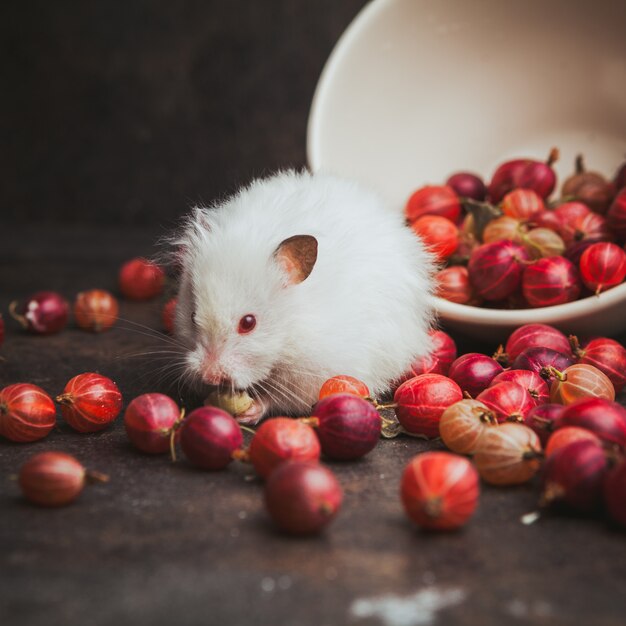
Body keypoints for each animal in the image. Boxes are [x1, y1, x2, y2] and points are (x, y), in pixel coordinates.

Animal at [171, 169, 434, 424]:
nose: (210, 376)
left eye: (248, 323)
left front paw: (251, 411)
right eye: (192, 317)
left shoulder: (312, 376)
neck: (290, 331)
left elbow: (279, 399)